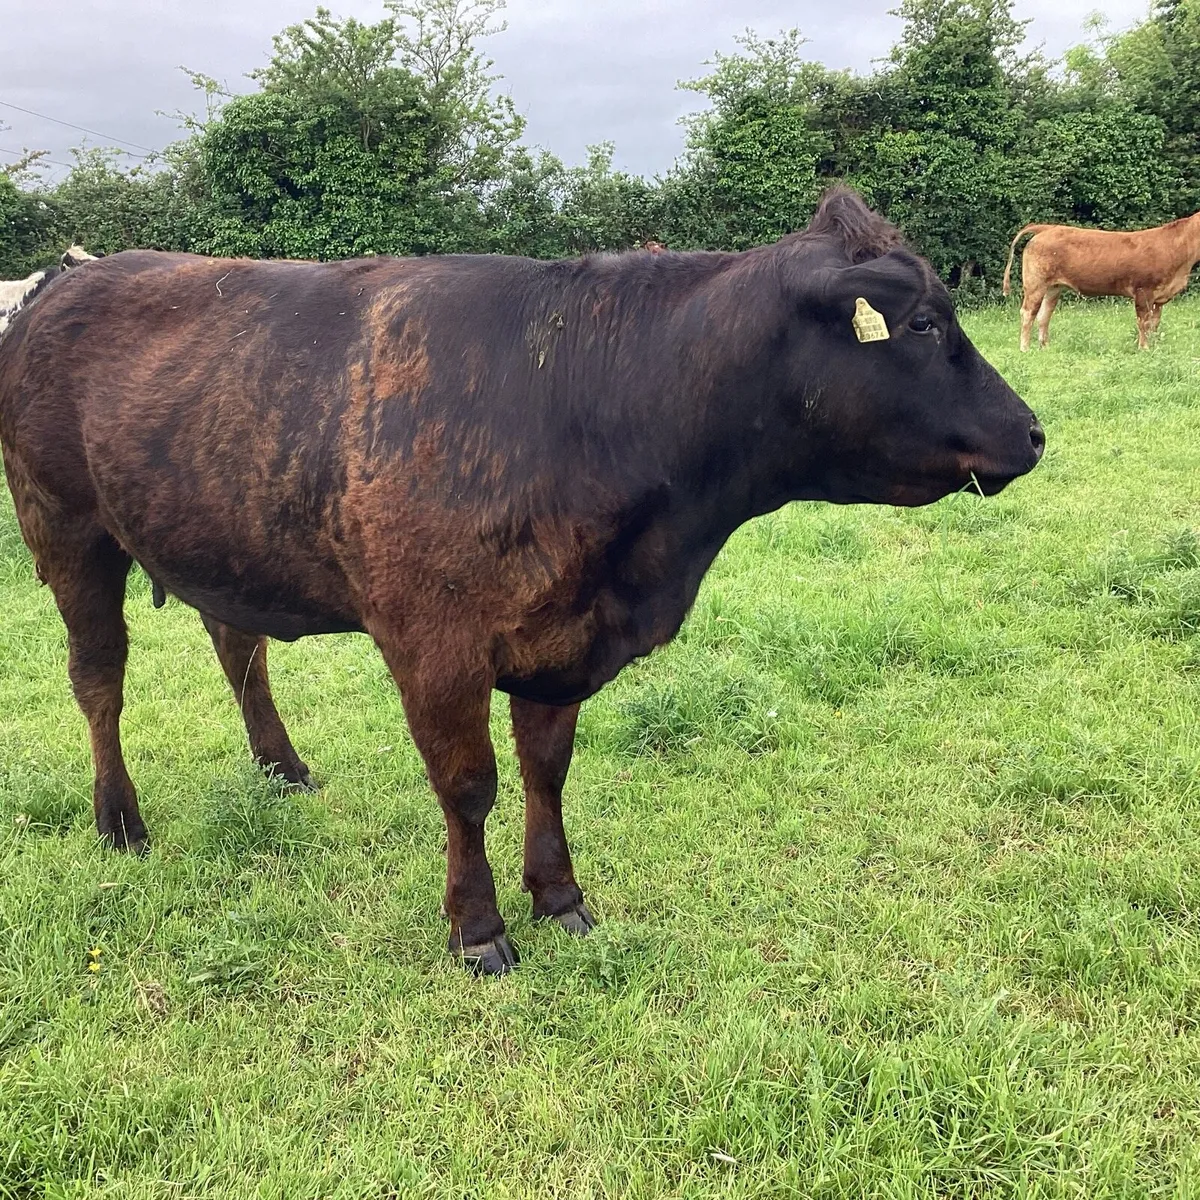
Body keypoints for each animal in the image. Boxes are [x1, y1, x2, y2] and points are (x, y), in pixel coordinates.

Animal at [0, 189, 1043, 975]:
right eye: (921, 324)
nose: (1033, 433)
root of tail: (72, 276)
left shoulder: (561, 636)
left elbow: (546, 770)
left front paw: (560, 896)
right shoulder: (435, 642)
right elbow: (469, 786)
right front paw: (479, 927)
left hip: (226, 537)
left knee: (237, 641)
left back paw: (281, 767)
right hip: (67, 529)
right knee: (98, 678)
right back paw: (119, 820)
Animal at [1003, 213, 1200, 351]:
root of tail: (1047, 228)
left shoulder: (1159, 297)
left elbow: (1155, 324)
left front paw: (1154, 347)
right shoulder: (1143, 291)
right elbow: (1143, 323)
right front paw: (1143, 348)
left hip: (1053, 287)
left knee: (1044, 315)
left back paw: (1045, 348)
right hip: (1035, 284)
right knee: (1028, 313)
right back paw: (1025, 349)